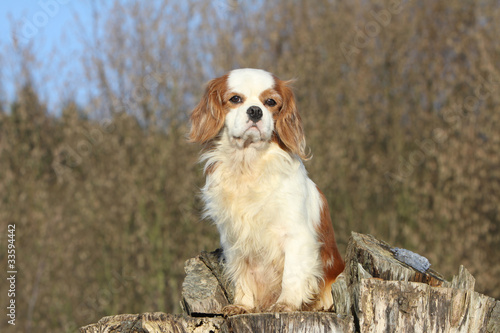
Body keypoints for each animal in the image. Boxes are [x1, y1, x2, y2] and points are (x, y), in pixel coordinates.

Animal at [188, 68, 344, 314]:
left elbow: (292, 274)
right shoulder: (234, 239)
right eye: (235, 99)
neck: (248, 163)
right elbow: (242, 274)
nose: (255, 111)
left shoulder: (296, 235)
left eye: (270, 102)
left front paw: (286, 303)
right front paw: (242, 305)